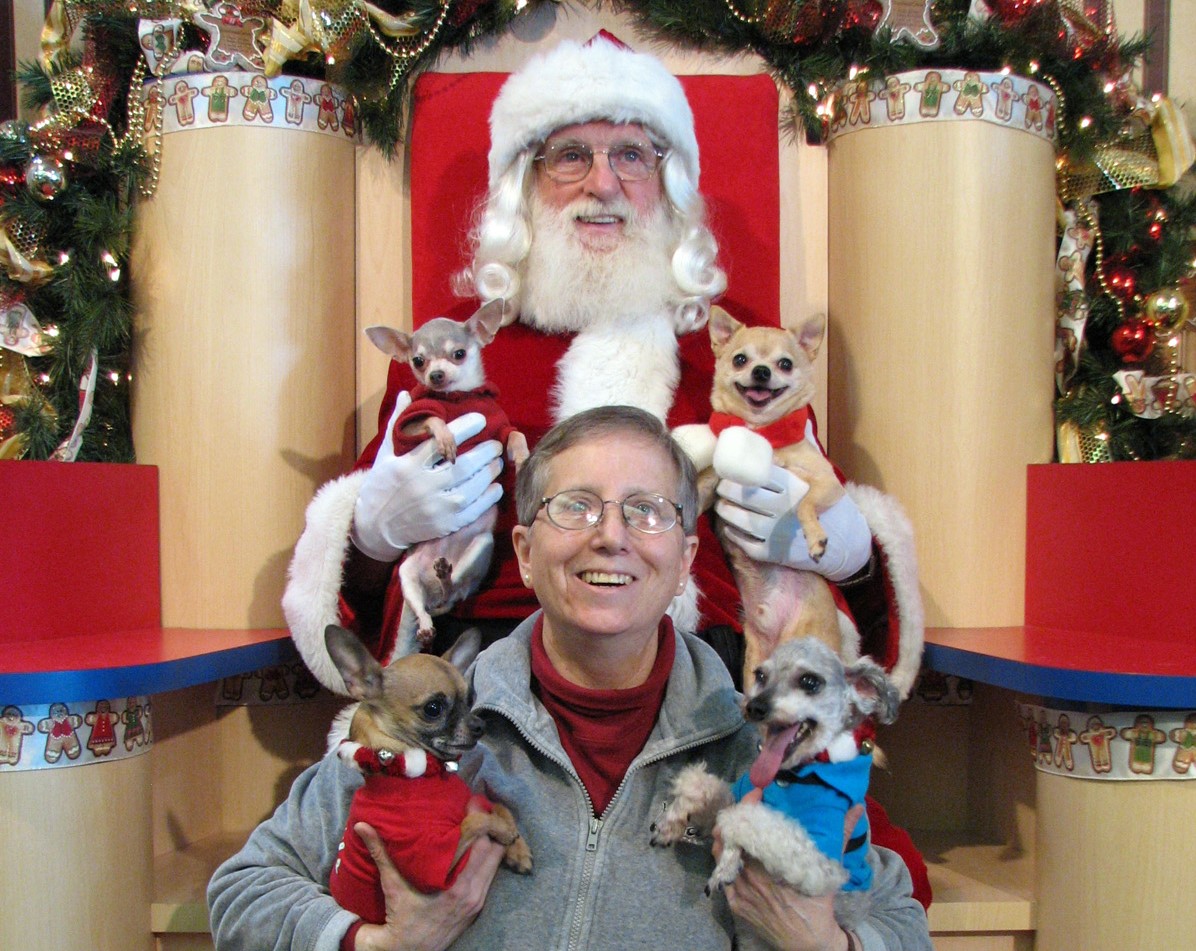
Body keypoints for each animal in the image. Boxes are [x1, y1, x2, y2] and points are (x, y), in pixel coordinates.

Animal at [327, 626, 533, 923]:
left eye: (469, 701)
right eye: (433, 709)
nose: (479, 725)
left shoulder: (475, 799)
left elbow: (497, 805)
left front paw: (518, 847)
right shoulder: (436, 863)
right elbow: (475, 820)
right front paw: (504, 831)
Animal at [363, 301, 528, 650]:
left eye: (459, 354)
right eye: (418, 361)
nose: (435, 375)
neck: (457, 398)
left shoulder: (500, 426)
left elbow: (516, 436)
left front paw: (522, 460)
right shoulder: (408, 424)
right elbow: (431, 419)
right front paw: (446, 437)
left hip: (480, 546)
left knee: (455, 589)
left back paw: (444, 576)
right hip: (408, 572)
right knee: (426, 603)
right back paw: (427, 620)